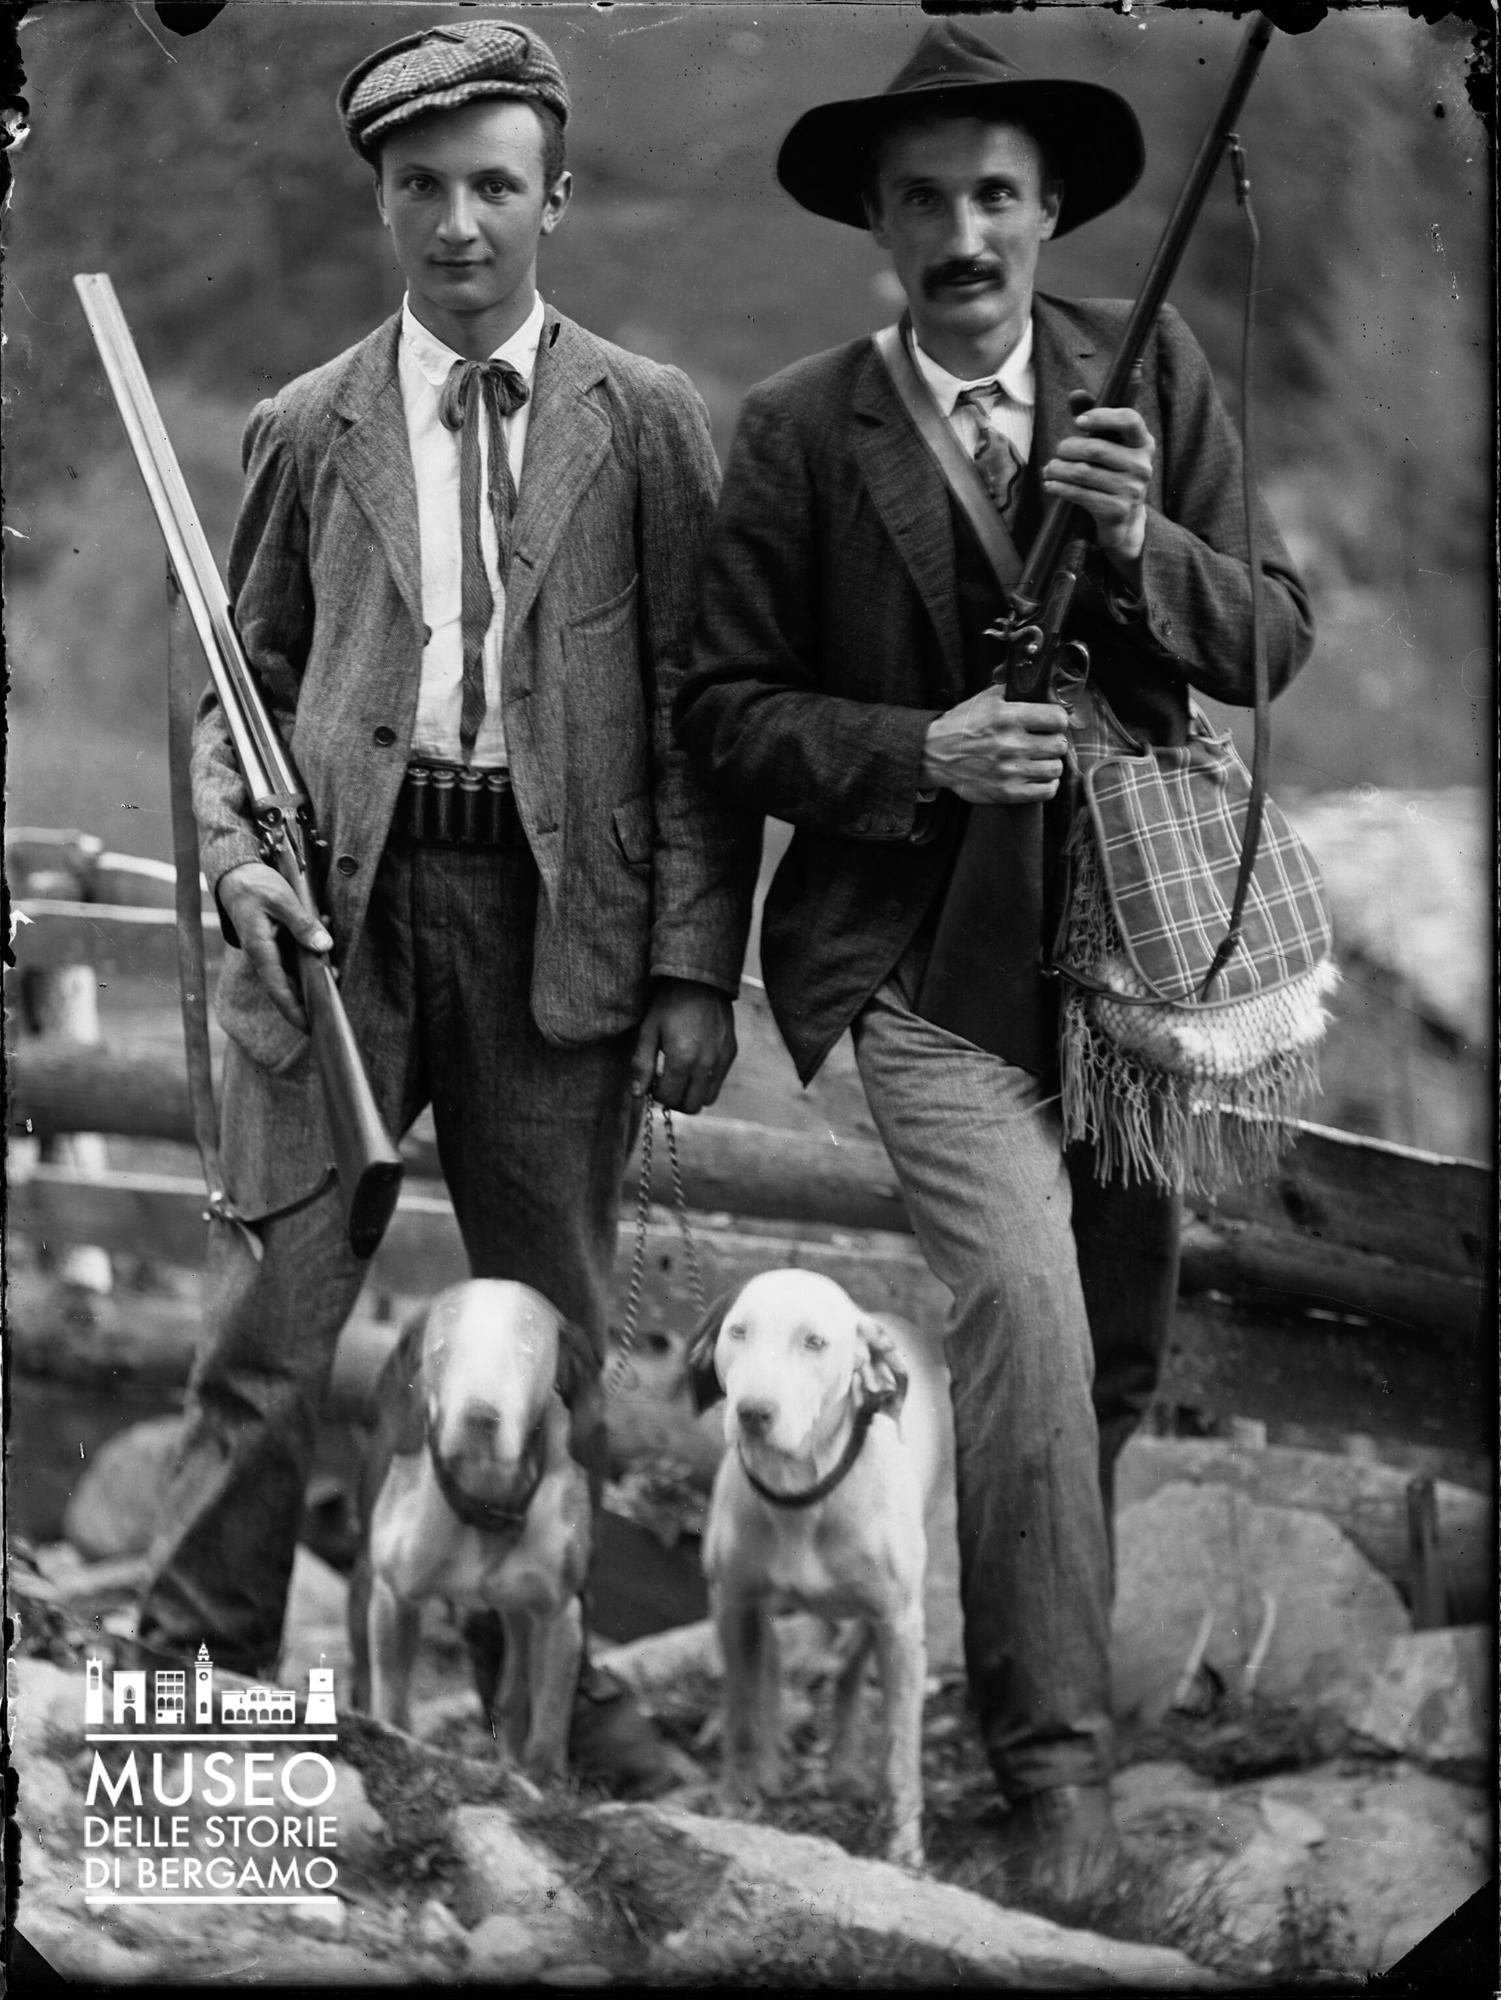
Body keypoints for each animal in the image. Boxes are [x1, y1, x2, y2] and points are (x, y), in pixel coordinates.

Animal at [348, 1280, 592, 1784]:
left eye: (526, 1352)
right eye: (442, 1350)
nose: (480, 1417)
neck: (486, 1503)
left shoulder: (560, 1614)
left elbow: (549, 1720)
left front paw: (543, 1779)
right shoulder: (394, 1599)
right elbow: (392, 1704)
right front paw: (389, 1739)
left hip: (518, 1614)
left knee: (513, 1694)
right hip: (364, 1586)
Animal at [692, 1272, 940, 1864]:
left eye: (815, 1343)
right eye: (738, 1331)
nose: (754, 1412)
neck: (800, 1492)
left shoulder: (900, 1622)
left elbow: (901, 1748)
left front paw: (903, 1848)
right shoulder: (732, 1602)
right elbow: (741, 1712)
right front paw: (736, 1800)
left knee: (848, 1674)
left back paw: (845, 1768)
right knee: (769, 1668)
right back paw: (772, 1762)